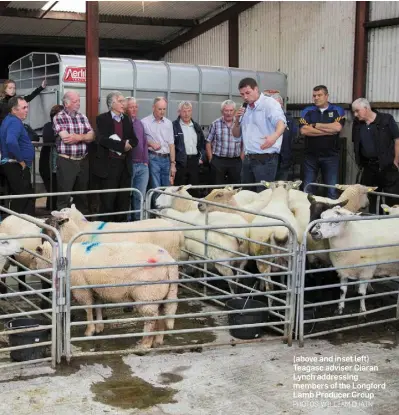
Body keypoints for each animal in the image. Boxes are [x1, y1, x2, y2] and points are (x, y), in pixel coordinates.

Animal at [35, 239, 179, 350]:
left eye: (34, 258)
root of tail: (169, 261)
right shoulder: (96, 289)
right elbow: (98, 306)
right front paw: (99, 327)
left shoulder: (82, 288)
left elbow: (88, 308)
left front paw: (90, 330)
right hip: (160, 294)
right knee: (160, 315)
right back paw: (157, 341)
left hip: (147, 294)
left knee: (151, 319)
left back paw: (145, 343)